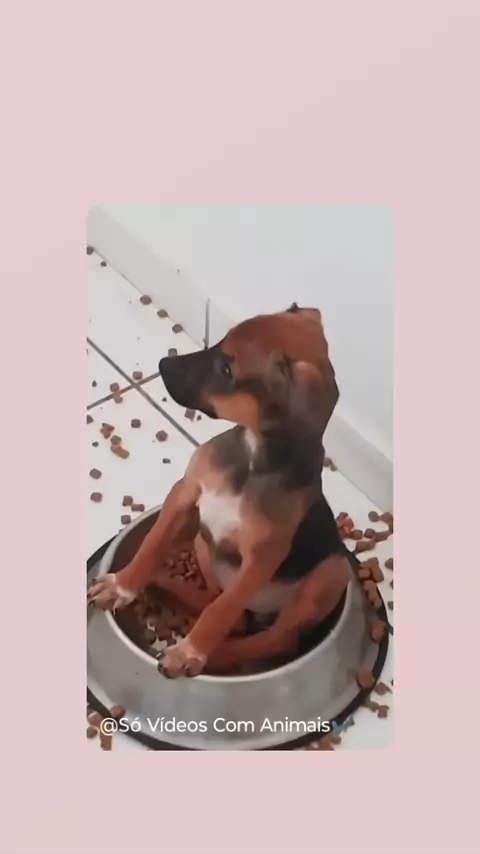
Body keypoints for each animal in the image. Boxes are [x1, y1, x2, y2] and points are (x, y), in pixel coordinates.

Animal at [88, 304, 352, 677]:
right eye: (220, 344)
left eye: (227, 370)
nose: (163, 365)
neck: (252, 458)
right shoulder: (183, 496)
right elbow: (151, 546)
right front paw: (122, 585)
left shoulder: (262, 558)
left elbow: (221, 611)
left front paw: (190, 653)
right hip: (202, 541)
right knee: (231, 615)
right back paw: (165, 587)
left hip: (331, 573)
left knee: (270, 637)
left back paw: (213, 656)